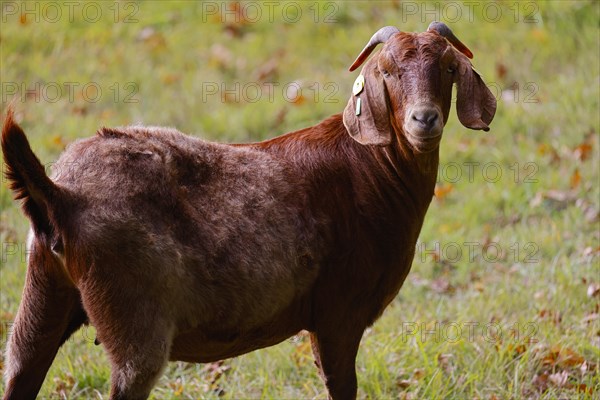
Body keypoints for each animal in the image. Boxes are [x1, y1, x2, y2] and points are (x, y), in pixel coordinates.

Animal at [1, 23, 496, 398]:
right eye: (388, 72)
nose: (424, 120)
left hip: (43, 293)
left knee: (20, 365)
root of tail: (61, 195)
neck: (368, 170)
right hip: (135, 319)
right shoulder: (337, 314)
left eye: (448, 68)